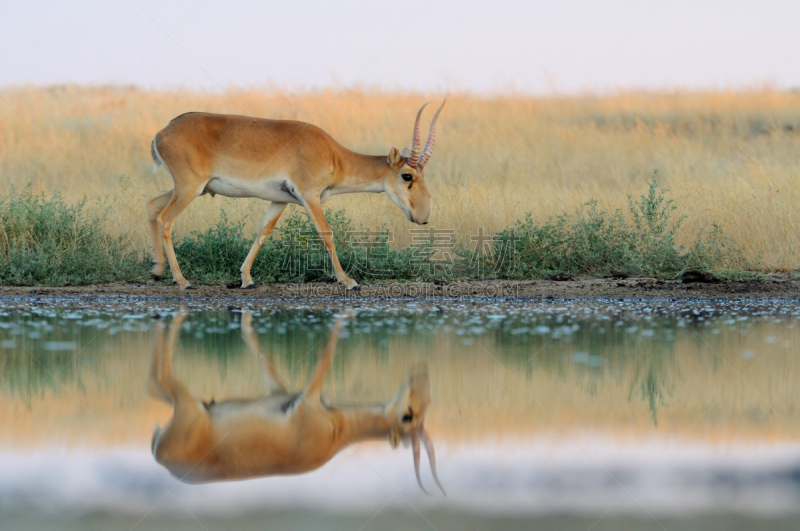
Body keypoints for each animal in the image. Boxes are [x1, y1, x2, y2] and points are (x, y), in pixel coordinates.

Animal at [148, 102, 446, 288]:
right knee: (165, 220)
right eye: (407, 175)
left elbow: (263, 232)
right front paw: (348, 281)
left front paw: (246, 279)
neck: (335, 155)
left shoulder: (280, 200)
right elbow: (327, 234)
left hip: (190, 189)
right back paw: (181, 280)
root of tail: (161, 132)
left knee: (152, 206)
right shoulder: (310, 196)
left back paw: (157, 270)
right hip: (189, 189)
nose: (423, 216)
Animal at [150, 312, 444, 494]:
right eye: (408, 416)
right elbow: (327, 355)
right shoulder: (308, 397)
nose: (422, 372)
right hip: (187, 403)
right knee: (159, 376)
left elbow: (265, 359)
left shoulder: (280, 391)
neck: (336, 431)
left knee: (157, 383)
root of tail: (160, 455)